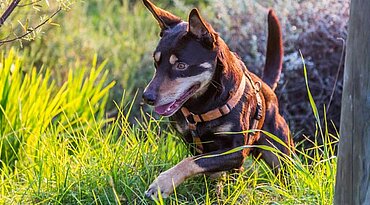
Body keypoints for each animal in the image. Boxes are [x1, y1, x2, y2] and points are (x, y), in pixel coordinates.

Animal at [142, 0, 294, 199]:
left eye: (181, 66)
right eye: (156, 63)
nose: (147, 97)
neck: (201, 107)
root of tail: (267, 88)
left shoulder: (236, 151)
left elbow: (193, 161)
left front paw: (163, 183)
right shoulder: (192, 142)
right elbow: (200, 161)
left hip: (279, 154)